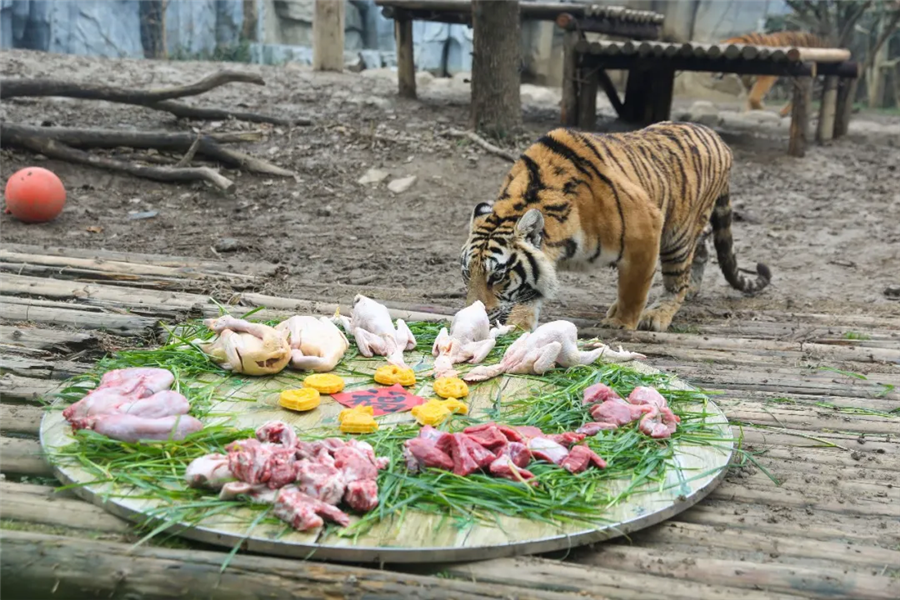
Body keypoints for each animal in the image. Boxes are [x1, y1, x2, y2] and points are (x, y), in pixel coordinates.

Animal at [460, 122, 768, 336]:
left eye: (498, 276)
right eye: (466, 274)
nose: (475, 312)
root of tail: (718, 138)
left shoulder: (646, 229)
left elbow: (634, 289)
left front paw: (620, 323)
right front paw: (518, 326)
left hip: (677, 234)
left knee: (676, 280)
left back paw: (657, 314)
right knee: (701, 250)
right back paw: (691, 289)